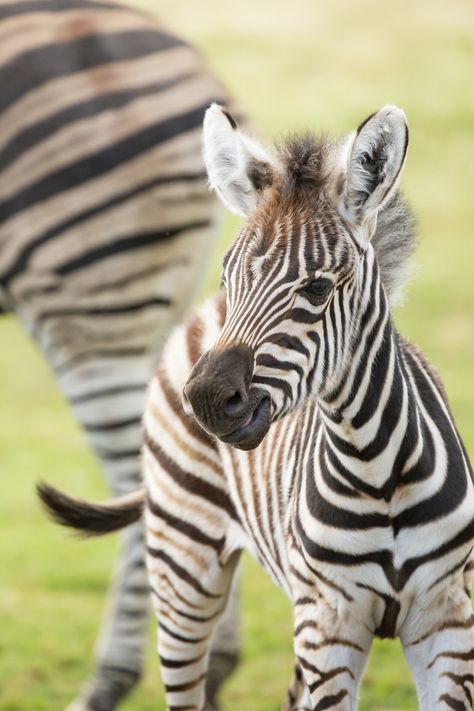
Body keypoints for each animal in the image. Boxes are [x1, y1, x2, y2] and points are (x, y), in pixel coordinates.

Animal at [40, 103, 474, 708]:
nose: (205, 399)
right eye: (230, 275)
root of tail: (203, 312)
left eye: (317, 289)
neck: (378, 470)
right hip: (183, 570)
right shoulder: (329, 626)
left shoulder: (446, 620)